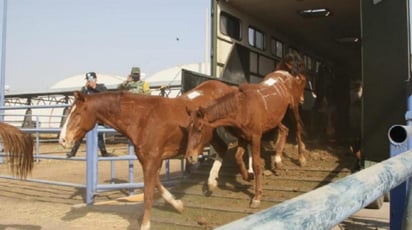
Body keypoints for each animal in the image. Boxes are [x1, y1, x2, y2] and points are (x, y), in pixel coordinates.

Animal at [57, 80, 238, 230]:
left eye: (77, 114)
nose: (63, 140)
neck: (143, 118)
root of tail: (228, 87)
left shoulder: (152, 160)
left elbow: (148, 194)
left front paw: (145, 225)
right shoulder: (150, 160)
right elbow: (157, 184)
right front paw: (178, 205)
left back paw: (214, 182)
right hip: (210, 135)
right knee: (222, 148)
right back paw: (212, 183)